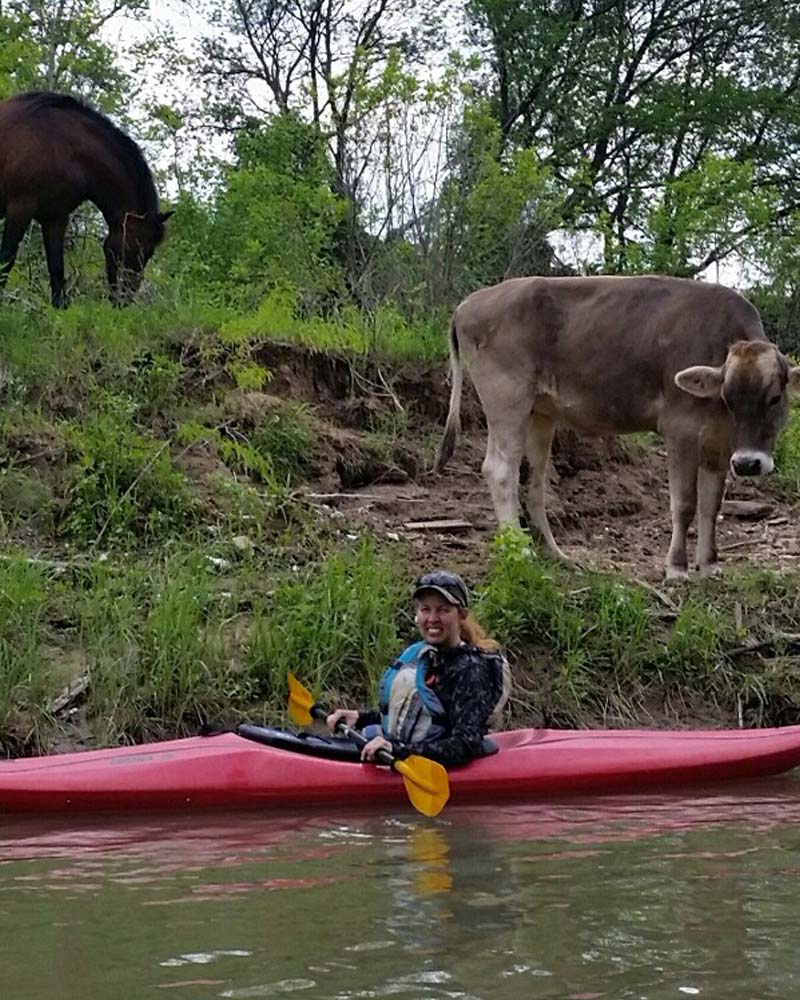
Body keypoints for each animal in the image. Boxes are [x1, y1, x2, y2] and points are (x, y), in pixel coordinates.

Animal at [0, 93, 173, 304]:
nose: (124, 299)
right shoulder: (20, 208)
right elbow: (6, 259)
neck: (60, 145)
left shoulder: (56, 217)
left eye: (149, 253)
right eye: (136, 249)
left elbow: (56, 270)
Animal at [434, 278, 800, 584]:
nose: (749, 464)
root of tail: (468, 303)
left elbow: (711, 504)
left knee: (533, 480)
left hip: (540, 412)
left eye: (774, 397)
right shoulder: (679, 428)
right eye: (729, 396)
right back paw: (519, 551)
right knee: (500, 470)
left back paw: (554, 554)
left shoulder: (719, 443)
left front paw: (709, 565)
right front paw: (677, 568)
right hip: (507, 399)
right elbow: (684, 503)